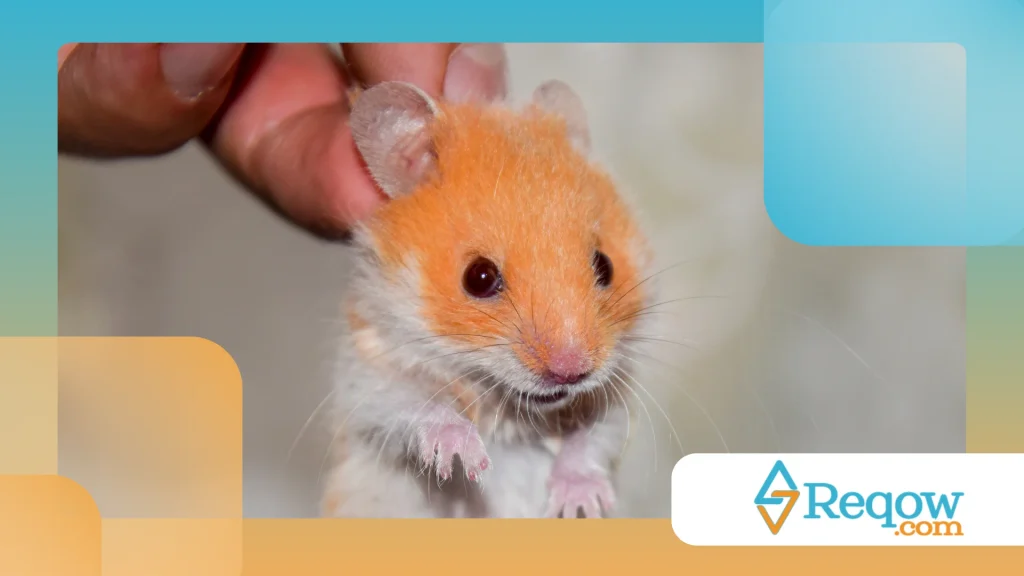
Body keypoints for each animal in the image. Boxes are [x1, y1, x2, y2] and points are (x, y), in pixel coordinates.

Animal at [320, 76, 656, 519]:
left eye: (605, 266)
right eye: (478, 278)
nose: (572, 372)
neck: (502, 398)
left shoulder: (613, 397)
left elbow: (594, 436)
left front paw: (580, 504)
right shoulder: (366, 374)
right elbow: (409, 403)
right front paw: (467, 461)